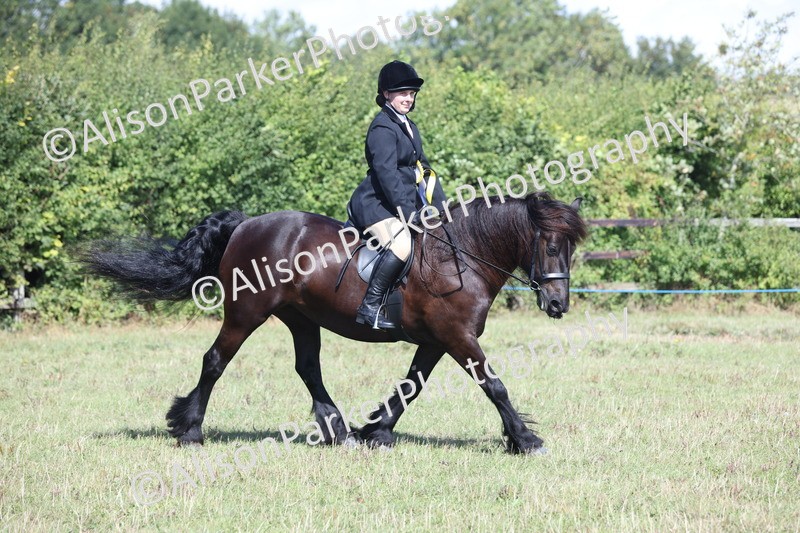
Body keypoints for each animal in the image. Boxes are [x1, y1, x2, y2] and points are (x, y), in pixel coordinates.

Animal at [80, 192, 587, 454]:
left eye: (571, 247)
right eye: (549, 246)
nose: (558, 305)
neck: (460, 255)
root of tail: (244, 224)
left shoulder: (437, 340)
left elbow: (411, 385)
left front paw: (376, 431)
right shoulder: (456, 336)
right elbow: (493, 385)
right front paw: (526, 439)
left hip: (300, 318)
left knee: (307, 368)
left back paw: (337, 431)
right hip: (246, 312)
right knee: (215, 361)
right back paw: (189, 430)